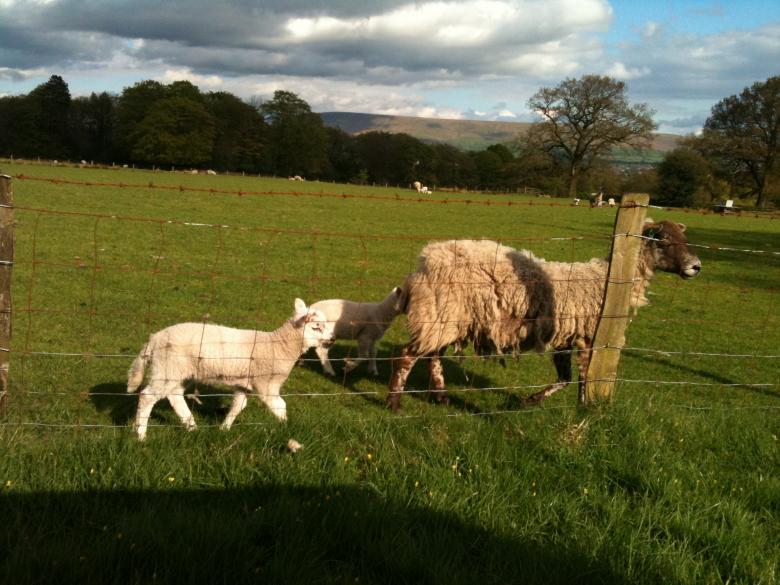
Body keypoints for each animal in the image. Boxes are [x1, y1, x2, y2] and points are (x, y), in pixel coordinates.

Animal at [127, 298, 335, 440]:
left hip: (178, 372)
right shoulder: (266, 383)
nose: (332, 339)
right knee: (147, 396)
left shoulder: (244, 384)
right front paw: (286, 428)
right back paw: (141, 435)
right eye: (316, 327)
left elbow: (237, 407)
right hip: (167, 368)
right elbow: (280, 405)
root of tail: (154, 339)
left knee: (174, 395)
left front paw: (223, 429)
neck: (278, 345)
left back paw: (192, 427)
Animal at [386, 220, 701, 410]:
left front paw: (531, 400)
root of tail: (425, 261)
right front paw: (584, 407)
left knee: (433, 355)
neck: (606, 279)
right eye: (662, 240)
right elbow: (582, 377)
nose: (696, 266)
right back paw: (394, 402)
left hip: (445, 318)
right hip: (440, 314)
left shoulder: (565, 338)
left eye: (684, 238)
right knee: (406, 356)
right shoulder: (587, 336)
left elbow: (566, 378)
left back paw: (441, 397)